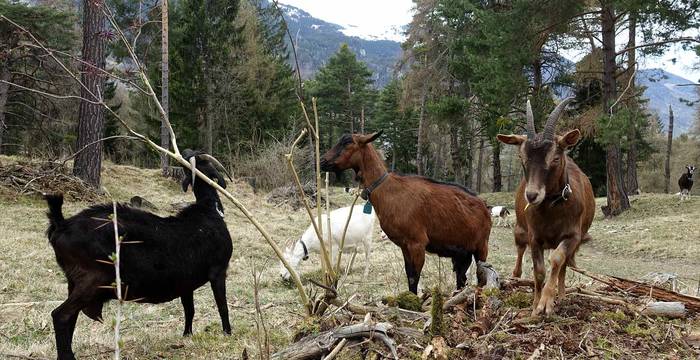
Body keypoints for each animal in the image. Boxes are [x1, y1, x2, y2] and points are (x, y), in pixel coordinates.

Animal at [45, 150, 234, 360]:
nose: (187, 152)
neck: (209, 210)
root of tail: (62, 224)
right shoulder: (218, 271)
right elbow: (222, 305)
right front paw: (227, 333)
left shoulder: (186, 283)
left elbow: (189, 310)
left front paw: (187, 336)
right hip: (92, 280)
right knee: (61, 315)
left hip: (74, 282)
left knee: (71, 317)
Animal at [318, 131, 490, 294]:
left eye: (347, 143)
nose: (322, 161)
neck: (389, 190)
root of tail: (483, 205)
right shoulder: (404, 245)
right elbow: (409, 275)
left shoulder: (417, 243)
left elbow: (415, 277)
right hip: (462, 252)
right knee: (461, 279)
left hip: (482, 246)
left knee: (481, 276)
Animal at [494, 98, 592, 316]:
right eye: (522, 158)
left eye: (555, 158)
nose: (531, 195)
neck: (552, 208)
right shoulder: (535, 237)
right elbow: (538, 271)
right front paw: (535, 305)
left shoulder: (573, 236)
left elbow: (557, 260)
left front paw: (547, 302)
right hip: (520, 230)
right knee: (520, 251)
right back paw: (515, 276)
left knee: (563, 266)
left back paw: (561, 296)